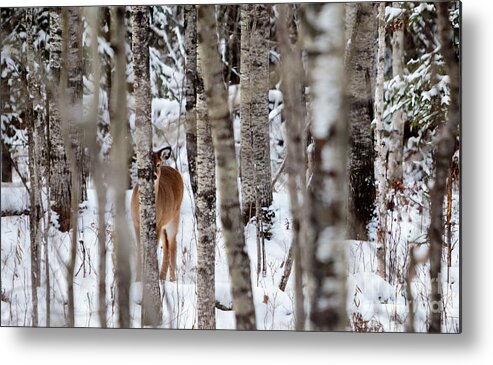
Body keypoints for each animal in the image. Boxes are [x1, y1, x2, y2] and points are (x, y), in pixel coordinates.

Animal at [130, 146, 184, 282]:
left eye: (158, 164)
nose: (154, 176)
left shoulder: (157, 223)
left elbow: (152, 249)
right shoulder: (135, 222)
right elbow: (139, 249)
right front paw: (137, 279)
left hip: (174, 218)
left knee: (173, 245)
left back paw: (171, 279)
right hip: (165, 223)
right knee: (166, 246)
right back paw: (162, 277)